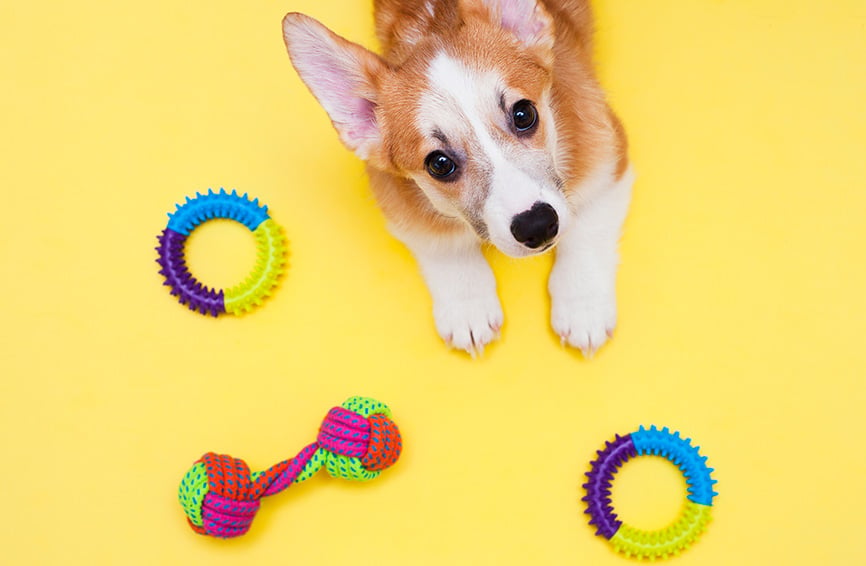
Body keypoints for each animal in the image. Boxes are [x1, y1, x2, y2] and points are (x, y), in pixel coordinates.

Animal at [280, 0, 632, 358]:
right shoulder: (401, 208)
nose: (537, 225)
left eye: (524, 114)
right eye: (439, 164)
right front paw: (469, 308)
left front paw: (583, 306)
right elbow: (445, 245)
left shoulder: (609, 162)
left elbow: (586, 229)